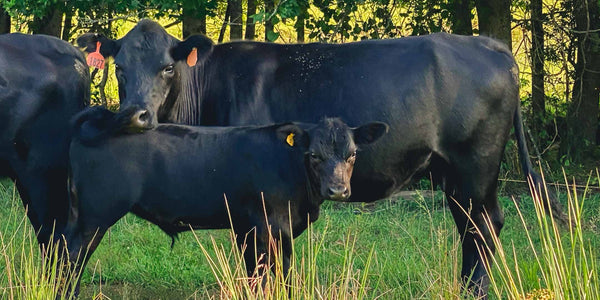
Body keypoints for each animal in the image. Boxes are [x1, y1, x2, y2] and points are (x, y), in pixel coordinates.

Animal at [62, 106, 390, 294]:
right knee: (71, 257)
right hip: (96, 215)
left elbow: (257, 275)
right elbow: (275, 275)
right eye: (314, 155)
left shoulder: (248, 229)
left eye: (352, 155)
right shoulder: (271, 227)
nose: (338, 190)